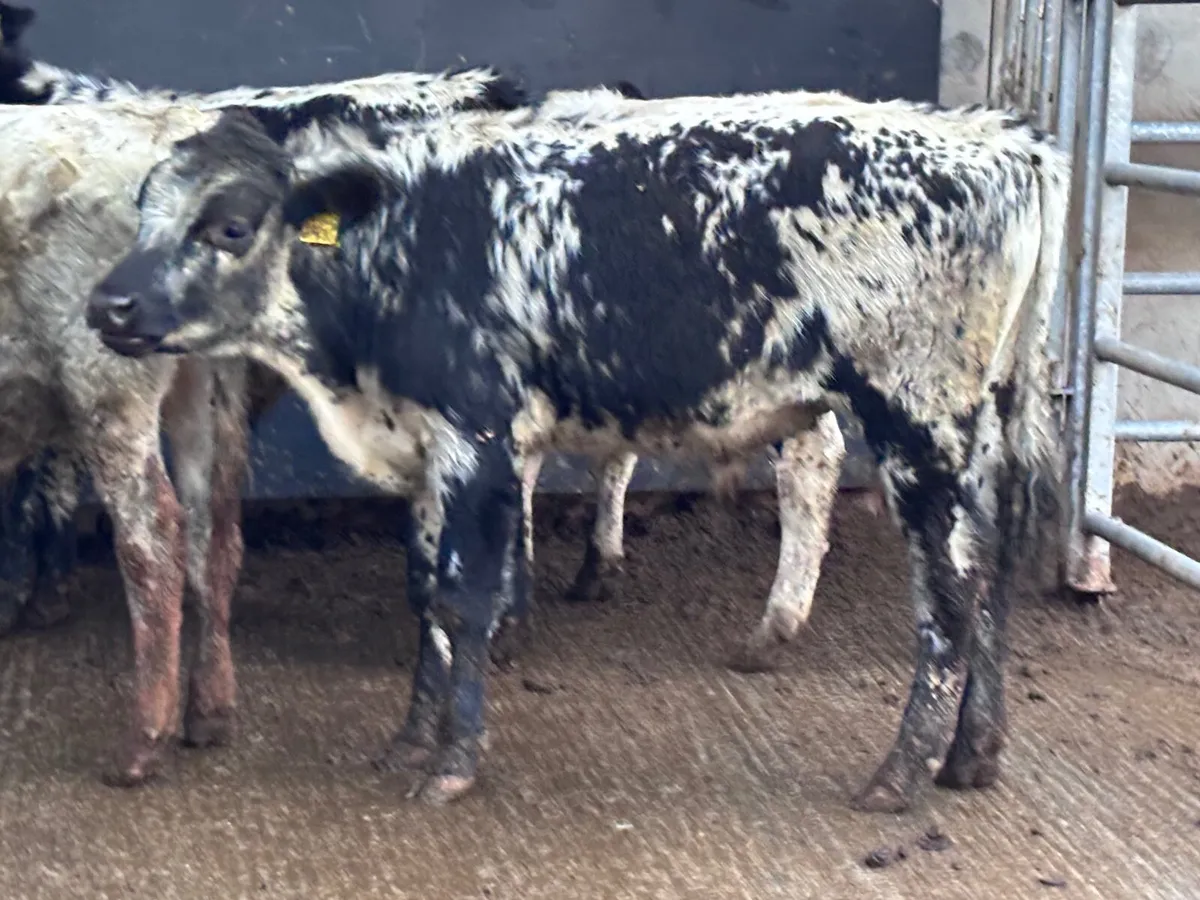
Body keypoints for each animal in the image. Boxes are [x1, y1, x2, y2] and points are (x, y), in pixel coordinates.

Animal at [85, 86, 1069, 811]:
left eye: (230, 226)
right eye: (143, 214)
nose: (108, 306)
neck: (398, 240)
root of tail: (997, 140)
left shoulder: (477, 438)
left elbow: (466, 600)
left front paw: (453, 761)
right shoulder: (424, 451)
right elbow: (426, 596)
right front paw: (410, 739)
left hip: (917, 425)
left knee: (950, 596)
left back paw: (900, 774)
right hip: (981, 429)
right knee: (992, 577)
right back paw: (971, 755)